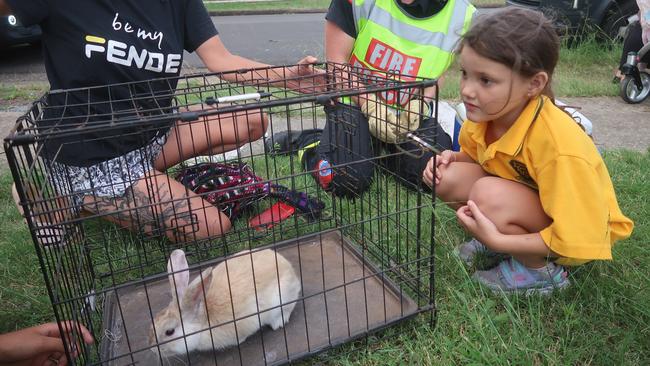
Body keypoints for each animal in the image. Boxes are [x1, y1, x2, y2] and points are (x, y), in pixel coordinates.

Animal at [151, 249, 302, 358]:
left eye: (169, 332)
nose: (153, 349)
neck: (204, 321)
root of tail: (289, 269)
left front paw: (239, 341)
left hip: (282, 298)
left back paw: (279, 322)